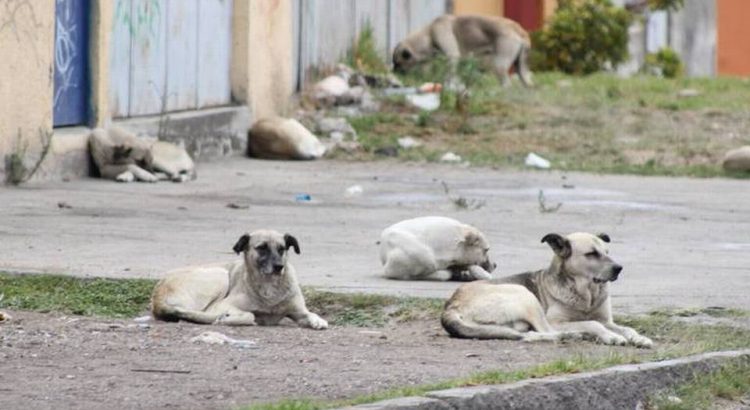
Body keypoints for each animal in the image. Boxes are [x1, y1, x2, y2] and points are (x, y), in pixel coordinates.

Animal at [151, 231, 328, 330]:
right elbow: (250, 315)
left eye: (281, 249)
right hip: (220, 275)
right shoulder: (223, 305)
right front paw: (228, 318)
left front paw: (318, 321)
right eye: (262, 248)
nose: (279, 267)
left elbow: (312, 314)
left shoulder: (298, 311)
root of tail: (157, 296)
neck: (269, 286)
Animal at [394, 14, 536, 86]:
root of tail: (518, 29)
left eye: (398, 63)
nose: (394, 71)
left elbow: (450, 75)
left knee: (506, 83)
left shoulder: (452, 56)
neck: (428, 34)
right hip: (521, 69)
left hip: (499, 65)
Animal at [444, 232, 656, 348]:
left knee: (530, 335)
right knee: (545, 330)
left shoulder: (606, 320)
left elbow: (625, 328)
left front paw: (639, 338)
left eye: (607, 252)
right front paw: (611, 337)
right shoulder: (559, 321)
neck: (586, 294)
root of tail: (451, 304)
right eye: (591, 254)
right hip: (525, 295)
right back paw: (576, 335)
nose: (619, 268)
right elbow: (594, 324)